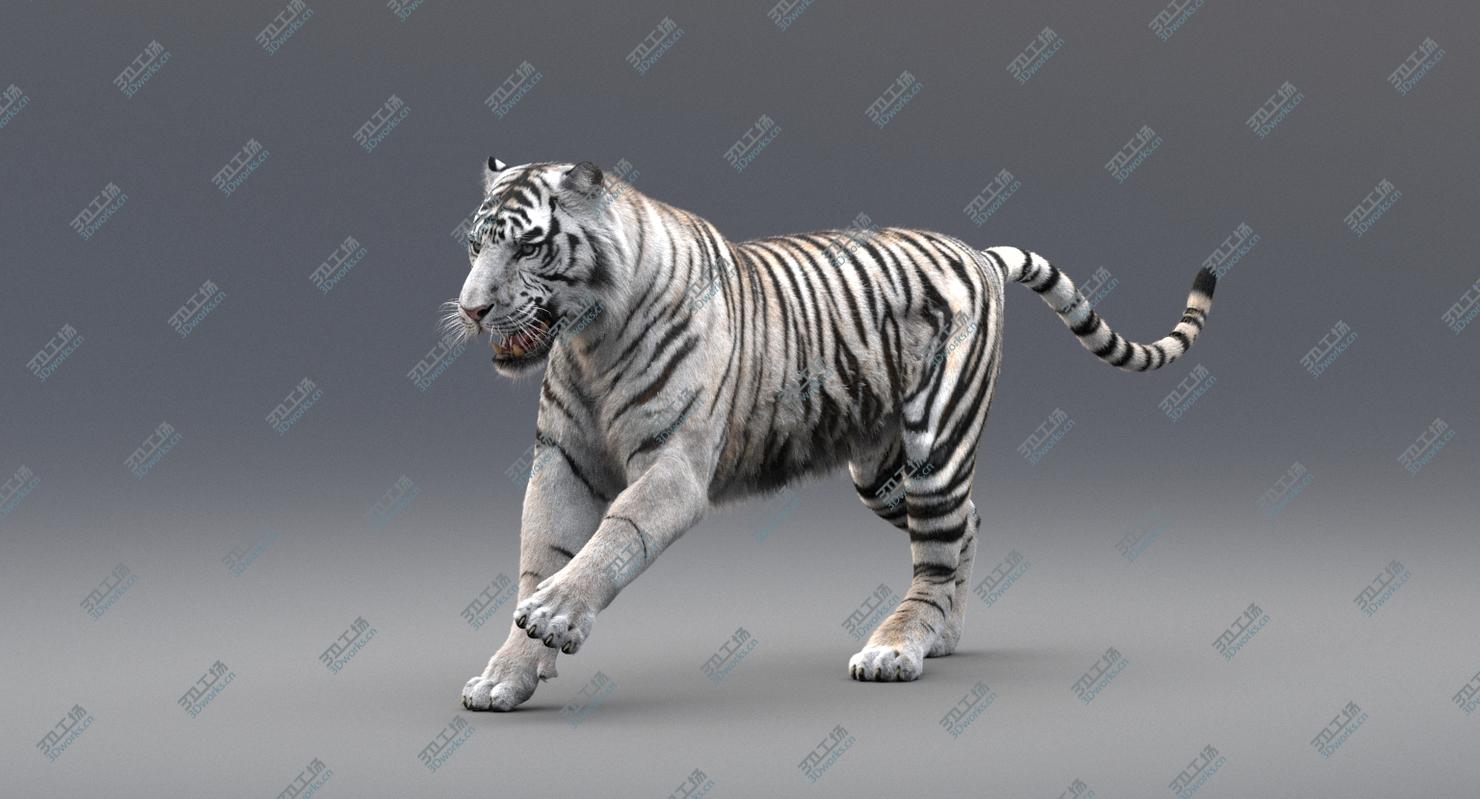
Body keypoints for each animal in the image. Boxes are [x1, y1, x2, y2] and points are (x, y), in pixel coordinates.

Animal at [453, 158, 1216, 711]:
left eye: (529, 246)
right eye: (473, 245)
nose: (471, 308)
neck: (590, 341)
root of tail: (977, 252)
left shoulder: (674, 467)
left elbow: (614, 538)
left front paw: (552, 616)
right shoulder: (562, 464)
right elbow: (544, 554)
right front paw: (508, 672)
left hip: (936, 444)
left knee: (936, 554)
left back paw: (896, 649)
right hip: (880, 473)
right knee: (966, 526)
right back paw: (943, 636)